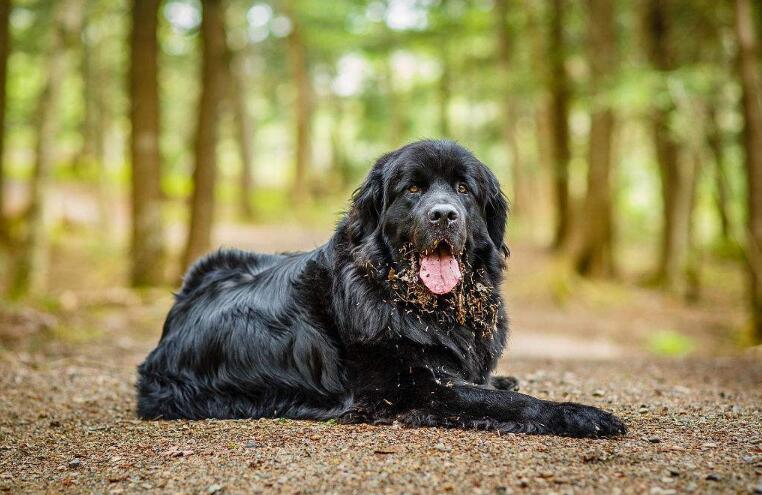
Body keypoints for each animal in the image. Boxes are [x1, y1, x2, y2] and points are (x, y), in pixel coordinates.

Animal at [135, 140, 624, 438]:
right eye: (413, 189)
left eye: (464, 188)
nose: (443, 214)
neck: (422, 307)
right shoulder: (420, 390)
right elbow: (511, 403)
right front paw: (581, 414)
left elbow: (492, 386)